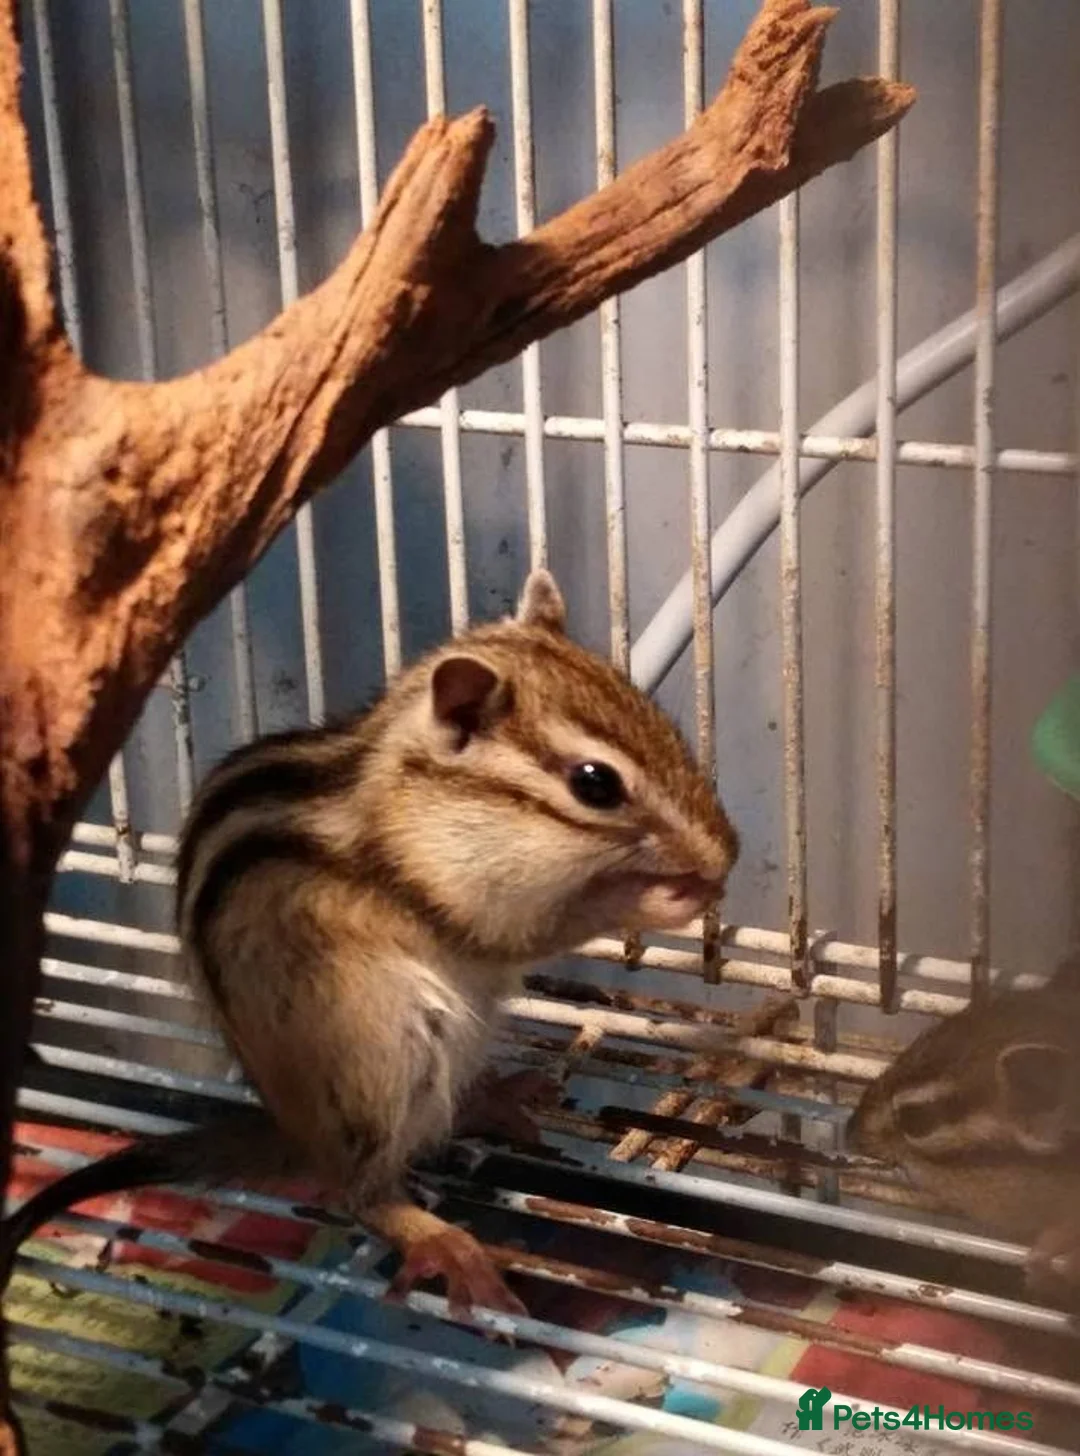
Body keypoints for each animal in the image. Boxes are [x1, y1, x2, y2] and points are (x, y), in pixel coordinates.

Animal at [2, 568, 738, 1318]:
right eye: (596, 783)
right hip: (384, 1064)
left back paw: (493, 1100)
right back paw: (445, 1245)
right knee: (358, 1190)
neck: (411, 790)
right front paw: (673, 895)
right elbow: (534, 929)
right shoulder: (456, 891)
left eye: (661, 723)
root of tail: (295, 1132)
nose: (727, 852)